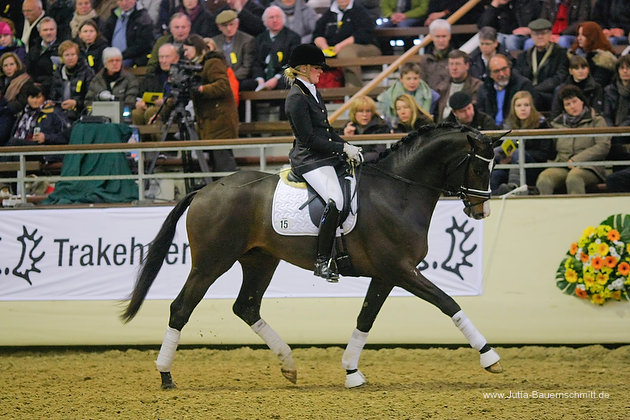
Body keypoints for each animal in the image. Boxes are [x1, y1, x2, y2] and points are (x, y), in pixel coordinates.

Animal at [122, 123, 508, 388]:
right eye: (478, 167)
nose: (481, 211)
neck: (397, 192)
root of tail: (204, 190)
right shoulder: (400, 270)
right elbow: (448, 303)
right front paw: (490, 357)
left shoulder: (386, 274)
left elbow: (365, 319)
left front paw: (352, 371)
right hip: (211, 262)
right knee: (181, 308)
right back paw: (166, 375)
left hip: (260, 260)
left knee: (246, 307)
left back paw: (289, 365)